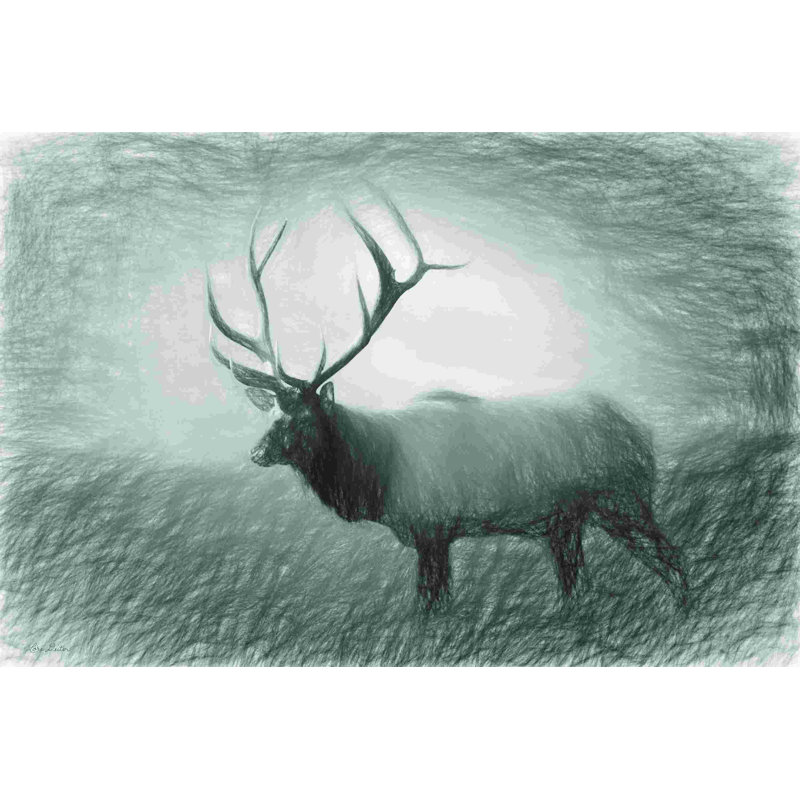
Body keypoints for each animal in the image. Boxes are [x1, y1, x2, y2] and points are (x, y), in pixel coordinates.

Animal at [206, 195, 688, 610]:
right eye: (271, 412)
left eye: (304, 417)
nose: (257, 452)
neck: (376, 475)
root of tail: (643, 435)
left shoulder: (432, 526)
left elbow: (431, 606)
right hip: (567, 522)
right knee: (578, 585)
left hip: (622, 499)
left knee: (675, 560)